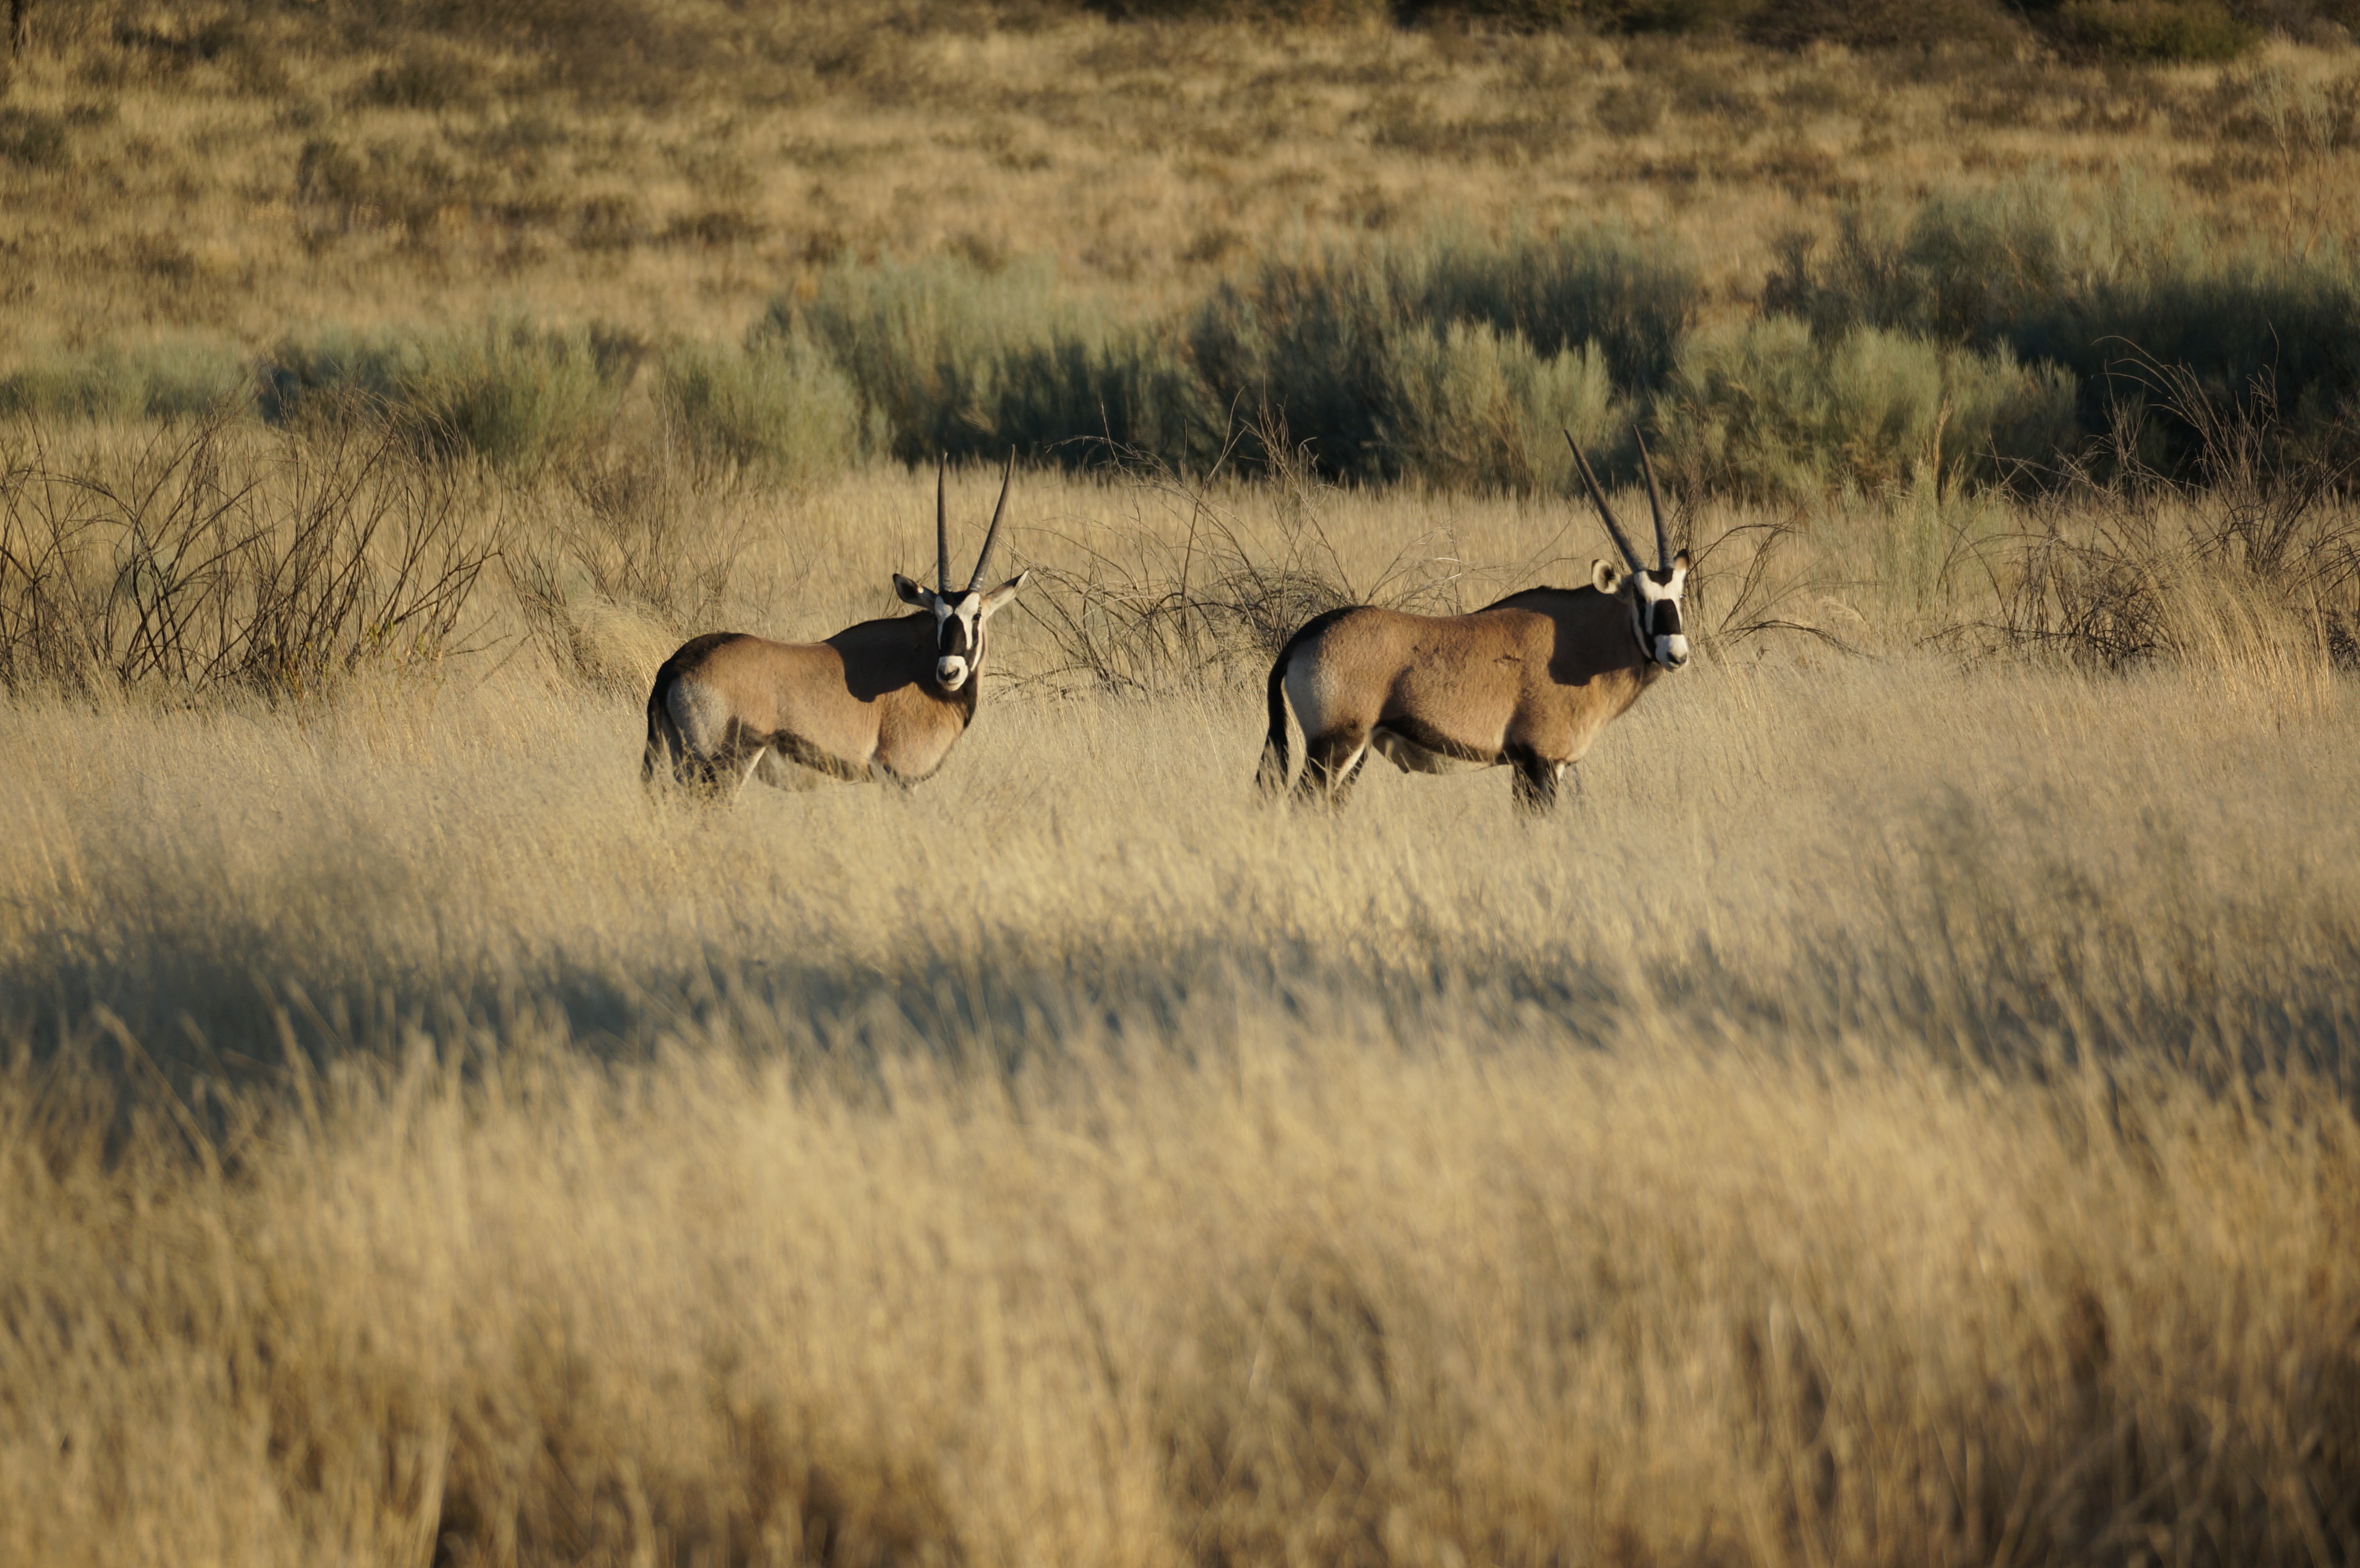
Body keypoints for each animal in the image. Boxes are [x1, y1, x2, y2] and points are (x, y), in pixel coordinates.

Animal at [644, 454, 1030, 800]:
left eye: (975, 616)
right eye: (936, 617)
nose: (948, 672)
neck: (918, 664)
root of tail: (674, 667)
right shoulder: (899, 777)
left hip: (684, 766)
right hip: (722, 768)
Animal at [1256, 430, 1691, 813]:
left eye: (1678, 597)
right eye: (1640, 599)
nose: (1677, 654)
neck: (1579, 641)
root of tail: (1303, 639)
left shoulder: (1524, 766)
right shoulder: (1542, 761)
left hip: (1355, 753)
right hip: (1333, 745)